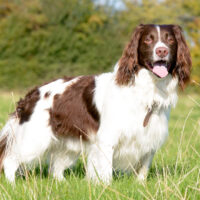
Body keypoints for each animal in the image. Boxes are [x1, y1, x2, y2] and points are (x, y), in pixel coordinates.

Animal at [0, 24, 191, 184]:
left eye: (170, 40)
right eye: (148, 39)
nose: (161, 51)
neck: (147, 89)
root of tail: (31, 94)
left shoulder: (149, 139)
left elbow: (143, 169)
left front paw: (140, 186)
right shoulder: (107, 139)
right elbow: (105, 171)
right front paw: (106, 187)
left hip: (66, 143)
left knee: (56, 169)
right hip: (34, 139)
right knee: (10, 160)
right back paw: (12, 185)